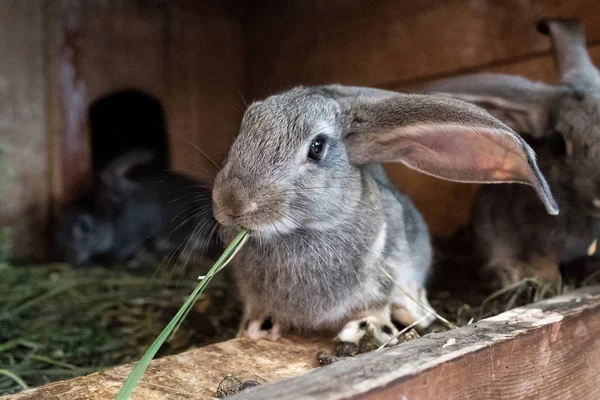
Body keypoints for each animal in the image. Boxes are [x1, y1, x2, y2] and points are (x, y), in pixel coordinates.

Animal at [212, 83, 556, 346]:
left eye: (317, 147)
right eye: (242, 132)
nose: (232, 204)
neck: (303, 231)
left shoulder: (380, 280)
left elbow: (373, 308)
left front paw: (364, 329)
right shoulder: (252, 294)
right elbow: (257, 309)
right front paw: (254, 330)